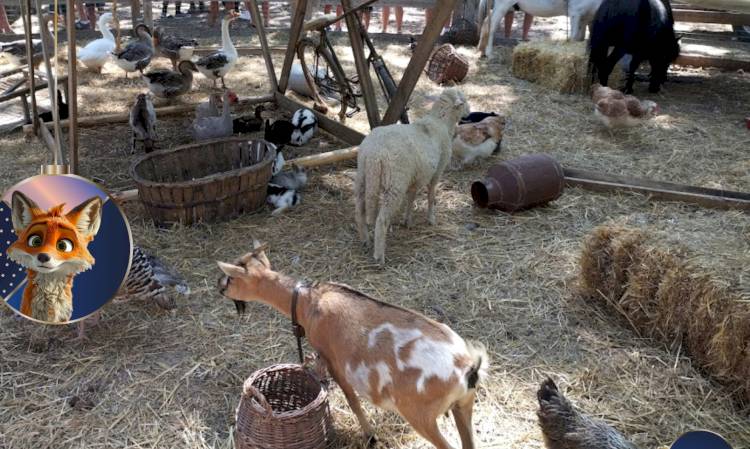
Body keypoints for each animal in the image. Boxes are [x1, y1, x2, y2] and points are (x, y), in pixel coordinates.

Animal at [217, 242, 488, 448]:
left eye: (230, 278)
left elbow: (352, 400)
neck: (309, 302)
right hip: (464, 405)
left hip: (421, 416)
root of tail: (467, 367)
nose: (219, 288)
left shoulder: (332, 359)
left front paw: (370, 436)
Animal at [354, 87, 470, 262]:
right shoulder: (437, 171)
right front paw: (431, 219)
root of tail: (374, 153)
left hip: (363, 176)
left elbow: (411, 198)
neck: (440, 122)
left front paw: (407, 221)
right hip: (394, 184)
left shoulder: (416, 176)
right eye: (463, 101)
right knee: (381, 221)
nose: (469, 113)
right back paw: (379, 256)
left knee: (360, 211)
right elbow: (431, 195)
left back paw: (365, 240)